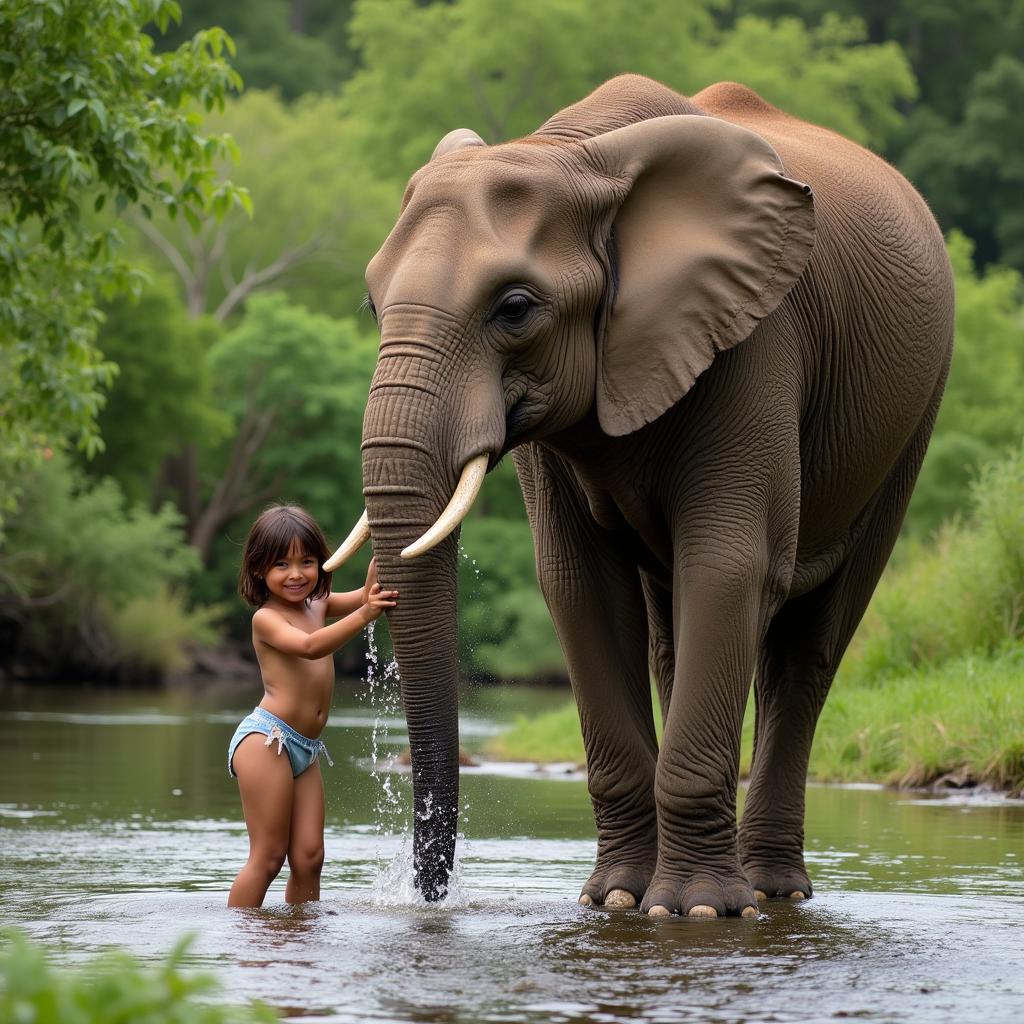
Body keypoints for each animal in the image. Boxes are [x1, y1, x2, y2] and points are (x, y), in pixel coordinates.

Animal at [325, 74, 950, 921]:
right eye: (369, 303)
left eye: (514, 307)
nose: (426, 899)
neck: (571, 154)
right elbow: (578, 586)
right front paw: (617, 900)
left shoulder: (754, 338)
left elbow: (729, 567)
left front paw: (692, 909)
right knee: (671, 636)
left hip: (912, 418)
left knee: (809, 646)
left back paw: (771, 890)